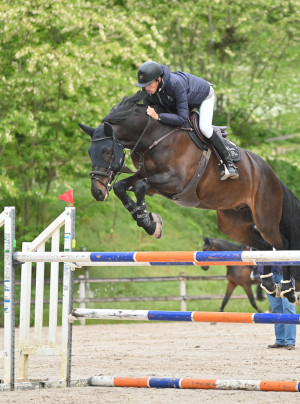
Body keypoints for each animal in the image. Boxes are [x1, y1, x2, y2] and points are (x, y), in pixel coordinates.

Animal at [79, 90, 300, 304]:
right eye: (89, 152)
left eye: (108, 151)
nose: (97, 192)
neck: (153, 136)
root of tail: (272, 175)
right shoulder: (148, 180)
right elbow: (121, 187)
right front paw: (149, 222)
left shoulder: (175, 181)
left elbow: (140, 187)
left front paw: (148, 222)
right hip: (233, 224)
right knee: (265, 246)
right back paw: (269, 284)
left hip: (265, 219)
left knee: (282, 246)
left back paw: (288, 289)